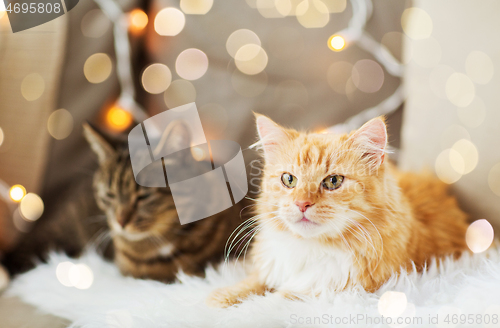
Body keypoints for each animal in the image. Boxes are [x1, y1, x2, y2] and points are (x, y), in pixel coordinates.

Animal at [206, 114, 468, 308]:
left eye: (333, 181)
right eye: (289, 180)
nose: (302, 203)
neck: (311, 248)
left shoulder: (329, 289)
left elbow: (271, 300)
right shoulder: (271, 270)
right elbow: (250, 285)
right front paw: (220, 297)